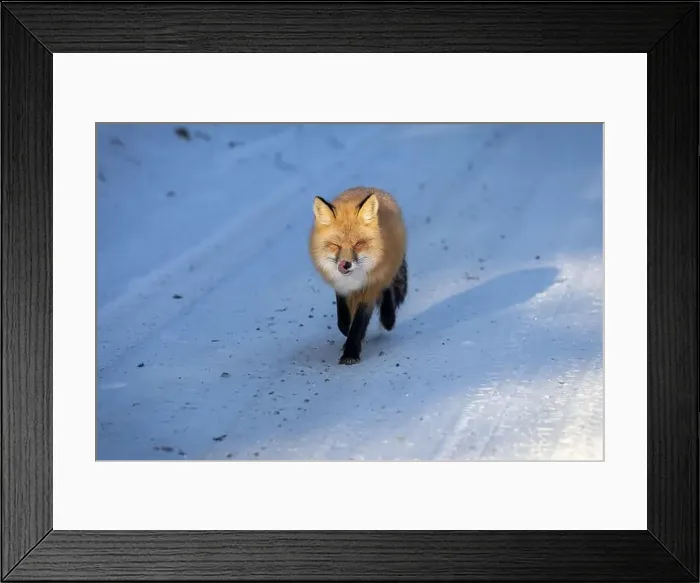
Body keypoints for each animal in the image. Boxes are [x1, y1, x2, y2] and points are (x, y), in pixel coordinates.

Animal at [309, 186, 408, 365]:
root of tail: (368, 188)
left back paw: (388, 318)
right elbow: (343, 319)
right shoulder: (341, 287)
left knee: (387, 289)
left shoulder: (368, 289)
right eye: (335, 245)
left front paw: (351, 353)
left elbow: (358, 323)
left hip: (387, 271)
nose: (345, 264)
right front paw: (347, 334)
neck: (353, 280)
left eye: (358, 244)